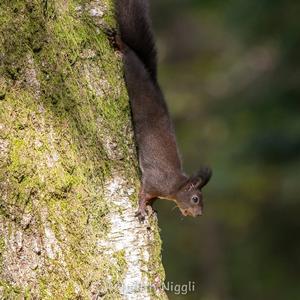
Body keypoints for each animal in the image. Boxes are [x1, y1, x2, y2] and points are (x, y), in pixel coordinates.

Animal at [113, 0, 212, 220]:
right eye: (195, 198)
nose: (199, 214)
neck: (175, 186)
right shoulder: (155, 181)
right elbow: (143, 193)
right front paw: (142, 208)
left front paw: (151, 207)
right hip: (132, 73)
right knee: (128, 54)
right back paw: (120, 43)